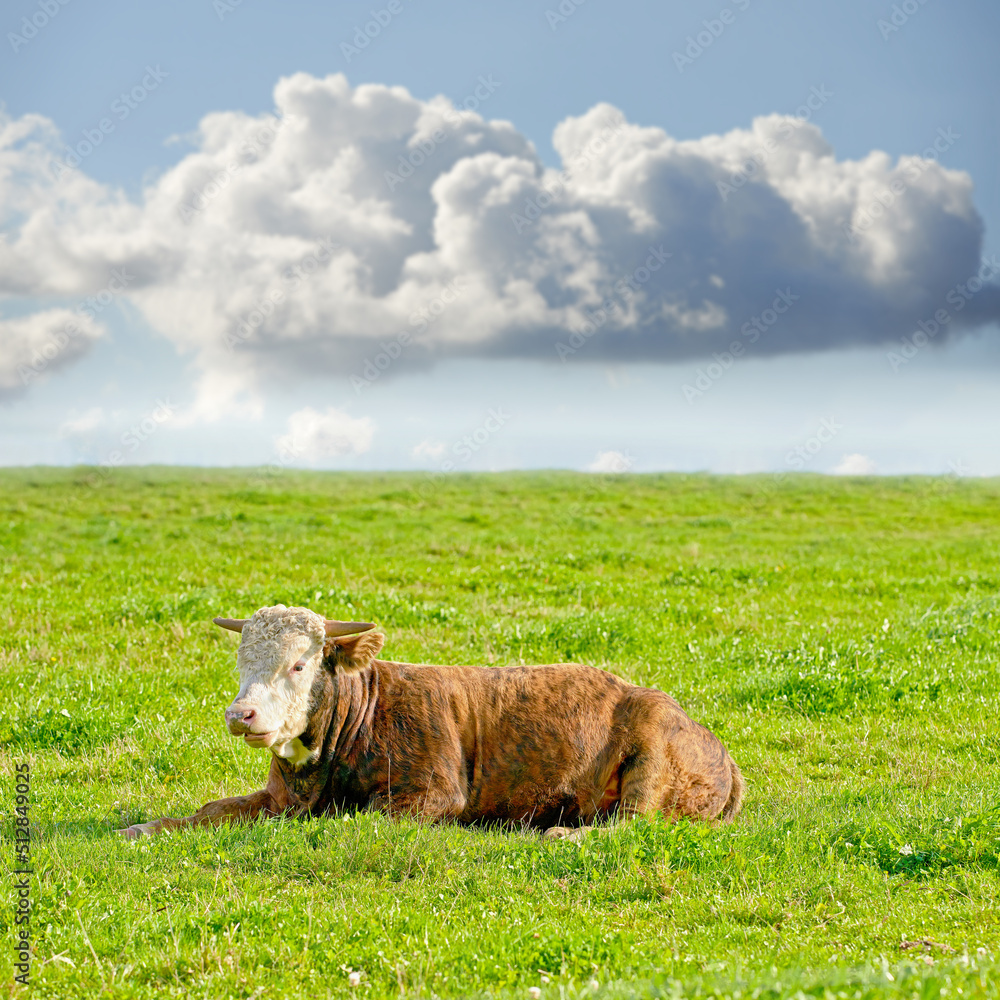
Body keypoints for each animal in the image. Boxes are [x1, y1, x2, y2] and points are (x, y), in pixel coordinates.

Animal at [117, 604, 744, 840]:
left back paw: (562, 833)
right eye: (241, 661)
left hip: (650, 762)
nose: (240, 714)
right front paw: (140, 828)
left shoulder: (433, 794)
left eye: (299, 663)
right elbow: (210, 810)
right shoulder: (280, 796)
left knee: (631, 823)